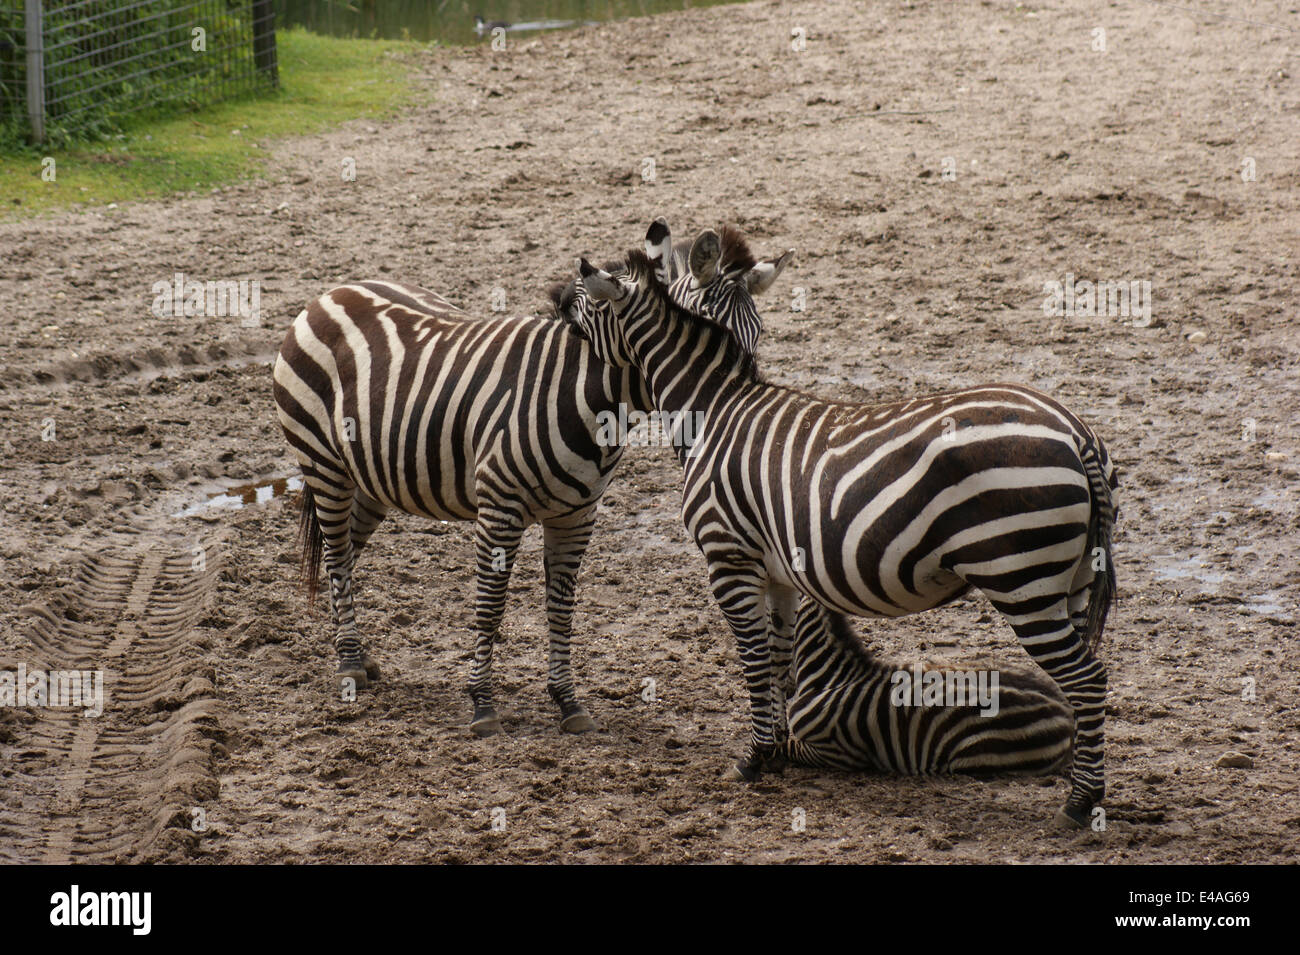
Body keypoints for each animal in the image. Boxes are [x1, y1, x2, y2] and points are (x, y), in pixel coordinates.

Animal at [269, 226, 785, 738]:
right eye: (708, 332)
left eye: (757, 334)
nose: (736, 413)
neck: (585, 394)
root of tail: (333, 292)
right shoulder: (500, 508)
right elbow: (491, 603)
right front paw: (482, 705)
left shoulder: (577, 515)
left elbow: (561, 605)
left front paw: (568, 701)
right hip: (324, 463)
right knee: (337, 555)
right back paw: (350, 663)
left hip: (374, 477)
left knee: (344, 553)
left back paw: (358, 653)